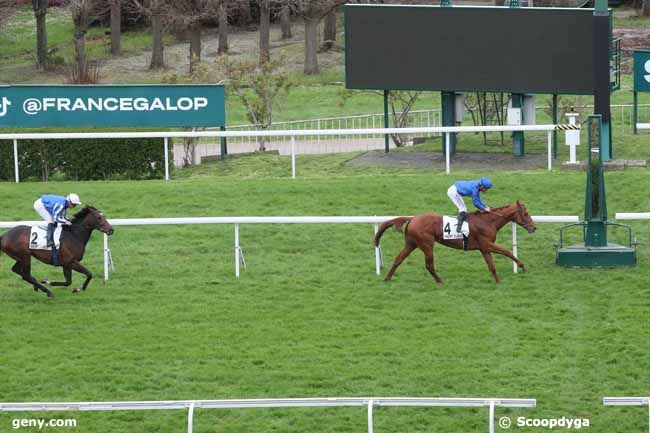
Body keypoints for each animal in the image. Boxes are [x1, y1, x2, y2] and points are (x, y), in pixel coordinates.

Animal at [372, 200, 536, 282]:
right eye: (526, 213)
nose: (534, 227)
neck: (488, 221)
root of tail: (412, 218)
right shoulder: (487, 244)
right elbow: (507, 252)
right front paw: (523, 267)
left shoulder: (484, 248)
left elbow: (491, 266)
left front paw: (497, 281)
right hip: (427, 244)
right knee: (429, 265)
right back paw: (440, 281)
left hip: (411, 243)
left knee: (398, 259)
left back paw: (387, 278)